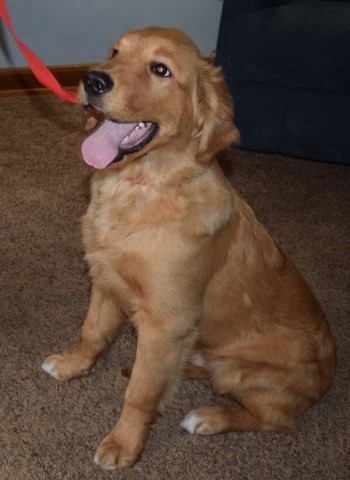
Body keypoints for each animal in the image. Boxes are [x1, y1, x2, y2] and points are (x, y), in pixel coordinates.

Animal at [41, 26, 336, 468]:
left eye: (161, 70)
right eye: (115, 52)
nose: (92, 80)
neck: (144, 186)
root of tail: (329, 377)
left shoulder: (166, 322)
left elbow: (141, 392)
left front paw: (123, 444)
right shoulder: (105, 277)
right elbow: (92, 332)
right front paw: (71, 365)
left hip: (243, 375)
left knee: (277, 422)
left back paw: (209, 417)